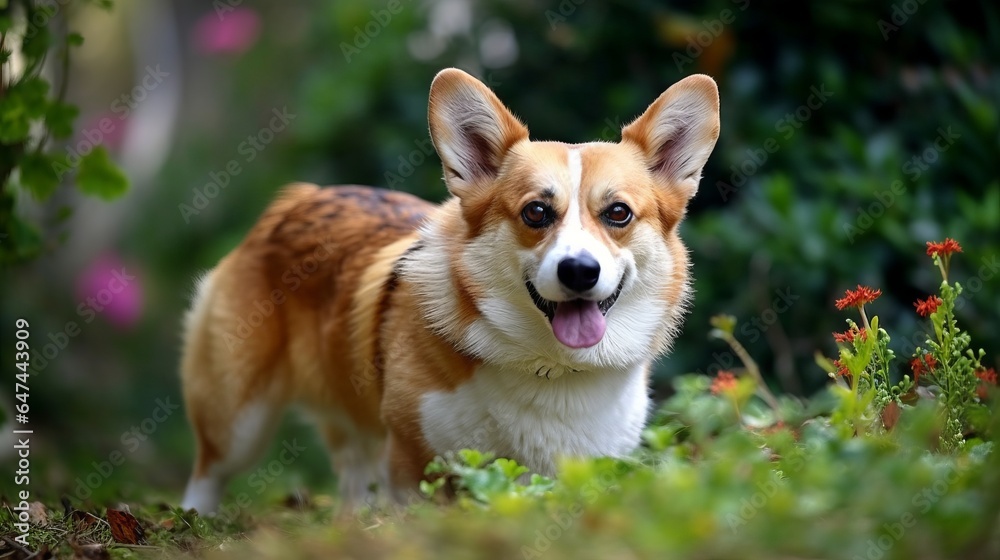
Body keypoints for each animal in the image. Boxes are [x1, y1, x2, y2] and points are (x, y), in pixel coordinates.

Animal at [180, 68, 720, 516]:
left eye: (618, 213)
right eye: (536, 213)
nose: (579, 272)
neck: (551, 368)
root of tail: (296, 200)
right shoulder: (413, 467)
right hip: (237, 417)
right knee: (208, 471)